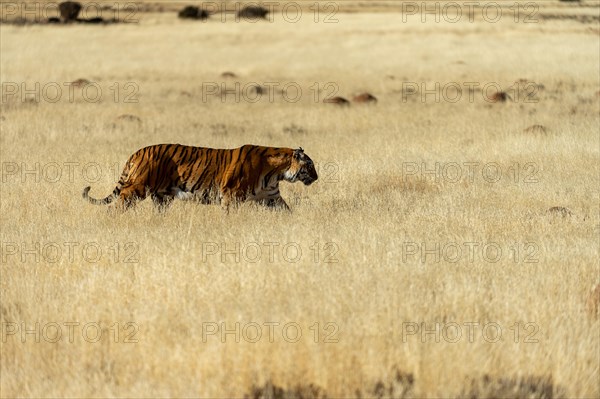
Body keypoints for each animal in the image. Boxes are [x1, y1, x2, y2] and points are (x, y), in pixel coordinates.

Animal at [83, 145, 318, 212]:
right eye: (310, 165)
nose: (317, 177)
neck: (277, 172)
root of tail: (138, 152)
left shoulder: (272, 197)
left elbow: (287, 211)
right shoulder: (231, 194)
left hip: (162, 197)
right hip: (138, 188)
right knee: (117, 204)